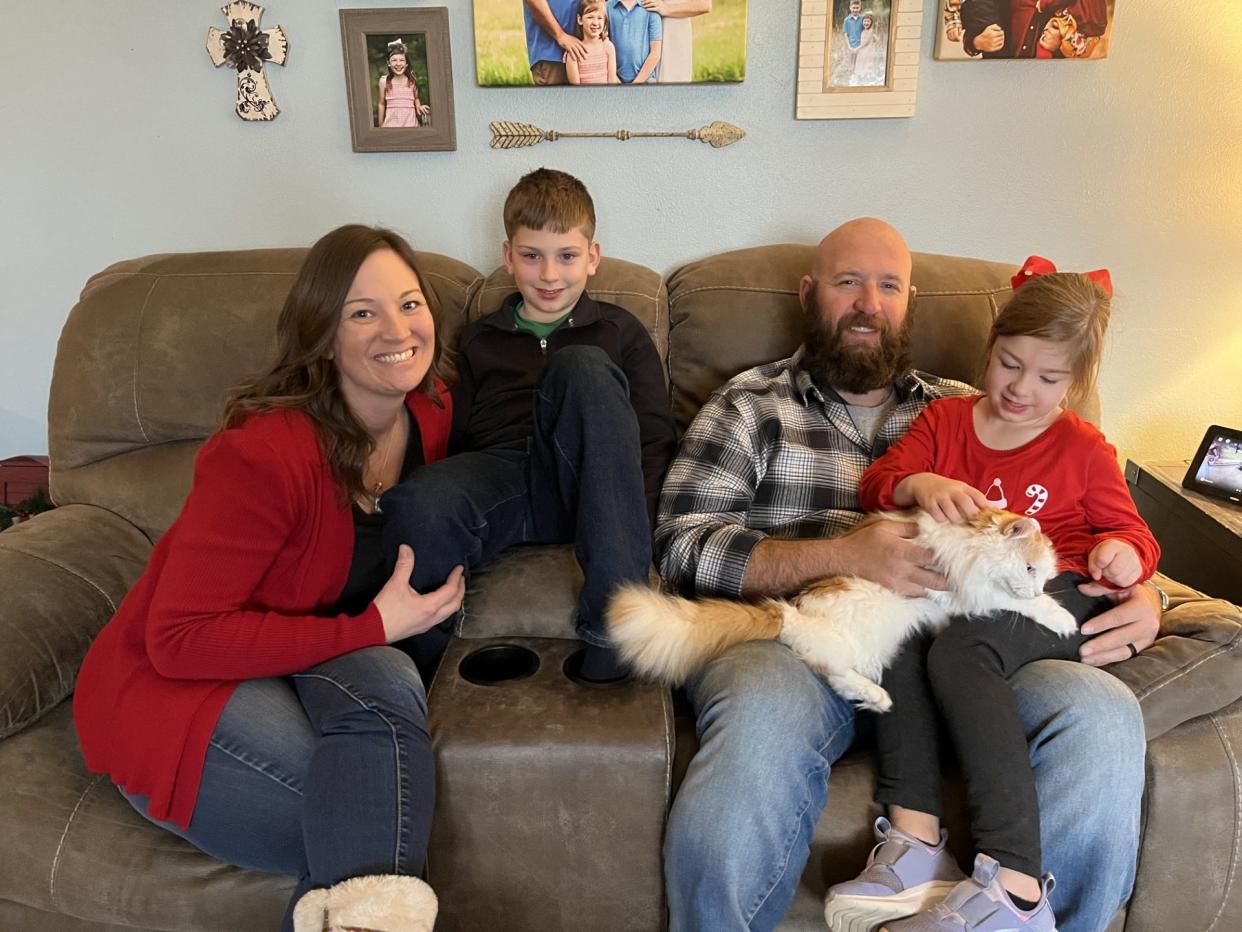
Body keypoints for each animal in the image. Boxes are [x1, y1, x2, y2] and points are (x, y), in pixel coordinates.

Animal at [606, 507, 1073, 710]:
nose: (1036, 587)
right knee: (832, 672)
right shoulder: (966, 584)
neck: (970, 535)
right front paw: (1061, 617)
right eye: (1029, 568)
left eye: (1042, 574)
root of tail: (789, 612)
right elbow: (1014, 601)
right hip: (850, 644)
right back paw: (878, 697)